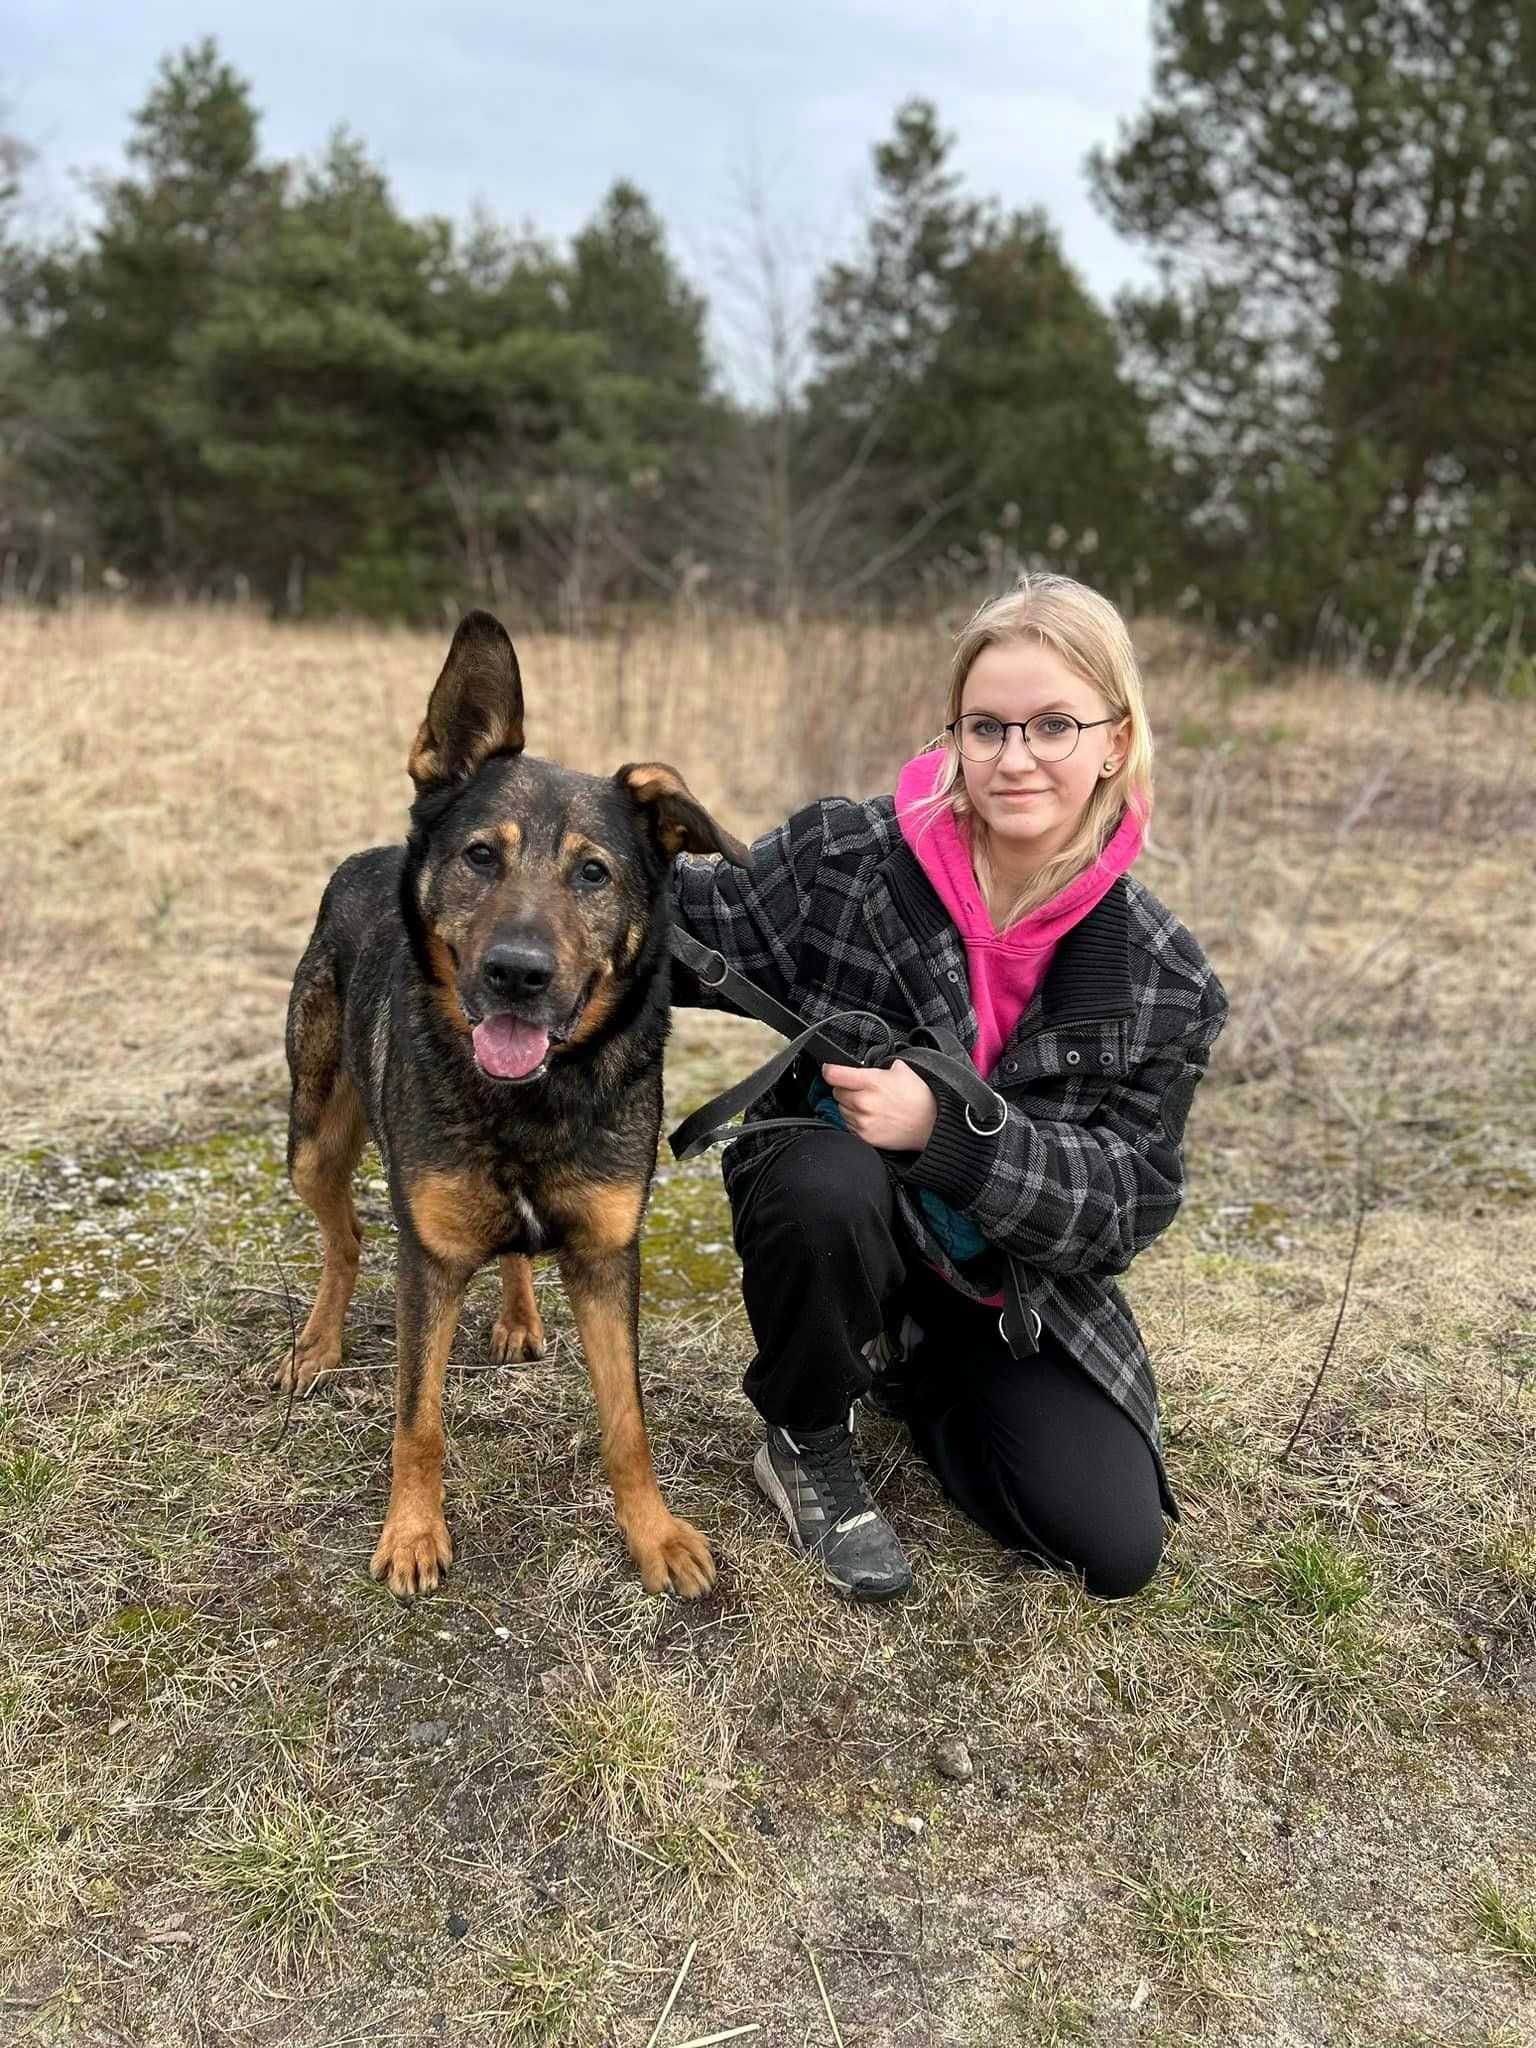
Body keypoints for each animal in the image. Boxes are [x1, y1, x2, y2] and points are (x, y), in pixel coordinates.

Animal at [282, 606, 757, 1597]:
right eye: (479, 856)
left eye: (594, 874)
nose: (517, 975)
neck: (534, 1099)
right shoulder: (429, 1257)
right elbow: (418, 1420)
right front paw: (412, 1533)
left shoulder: (608, 1254)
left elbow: (628, 1423)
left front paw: (653, 1536)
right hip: (311, 1140)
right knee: (344, 1238)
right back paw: (318, 1344)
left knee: (505, 1251)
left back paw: (518, 1313)